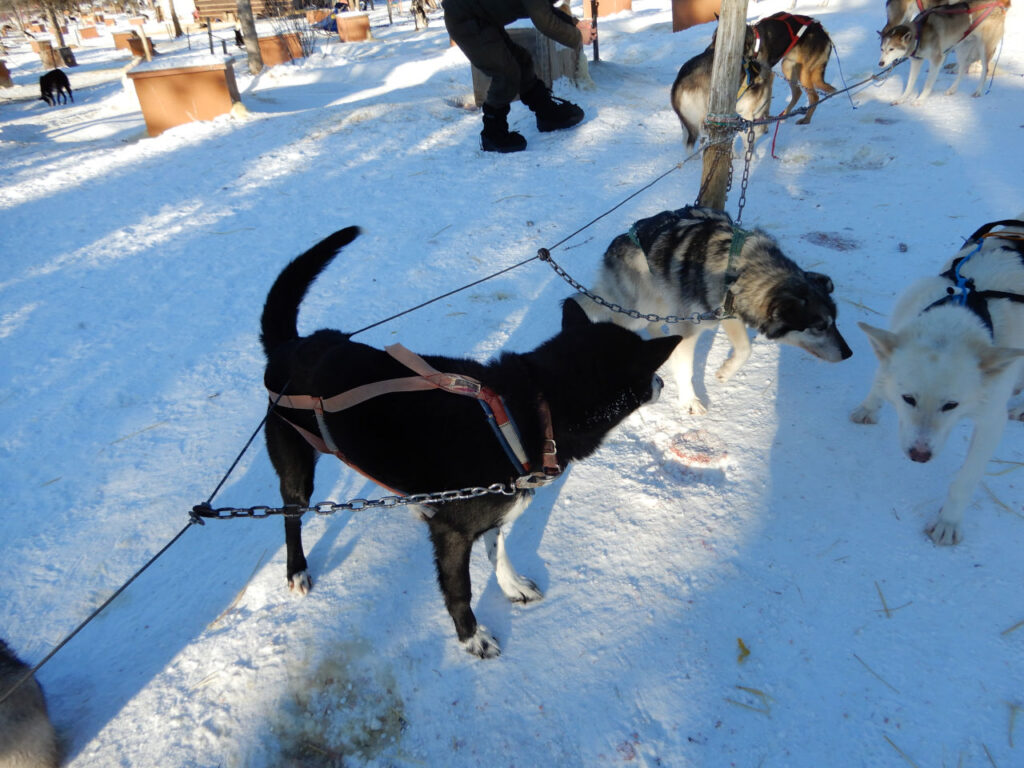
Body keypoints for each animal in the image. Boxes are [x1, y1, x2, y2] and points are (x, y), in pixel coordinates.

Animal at [260, 225, 684, 659]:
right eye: (650, 375)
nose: (663, 382)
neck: (526, 413)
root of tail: (289, 347)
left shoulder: (495, 505)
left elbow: (498, 549)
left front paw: (511, 585)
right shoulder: (453, 535)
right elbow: (459, 591)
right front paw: (471, 636)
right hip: (296, 470)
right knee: (290, 516)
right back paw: (297, 569)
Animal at [573, 205, 851, 415]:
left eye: (835, 322)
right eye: (819, 327)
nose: (848, 353)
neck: (740, 268)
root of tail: (615, 246)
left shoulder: (727, 314)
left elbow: (745, 349)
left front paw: (726, 372)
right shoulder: (689, 327)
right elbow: (686, 370)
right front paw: (690, 402)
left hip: (661, 304)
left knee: (653, 324)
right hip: (642, 306)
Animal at [851, 214, 1024, 544]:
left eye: (951, 405)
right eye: (908, 399)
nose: (920, 455)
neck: (955, 321)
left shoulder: (991, 421)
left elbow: (966, 480)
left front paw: (949, 521)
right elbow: (881, 376)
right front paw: (869, 406)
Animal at [876, 0, 1011, 102]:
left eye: (891, 49)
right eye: (882, 49)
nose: (880, 63)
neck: (919, 34)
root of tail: (997, 6)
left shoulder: (937, 59)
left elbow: (928, 83)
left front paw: (920, 100)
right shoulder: (916, 61)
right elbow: (910, 84)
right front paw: (902, 99)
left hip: (984, 48)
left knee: (985, 70)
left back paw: (978, 91)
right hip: (961, 48)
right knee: (963, 68)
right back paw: (952, 89)